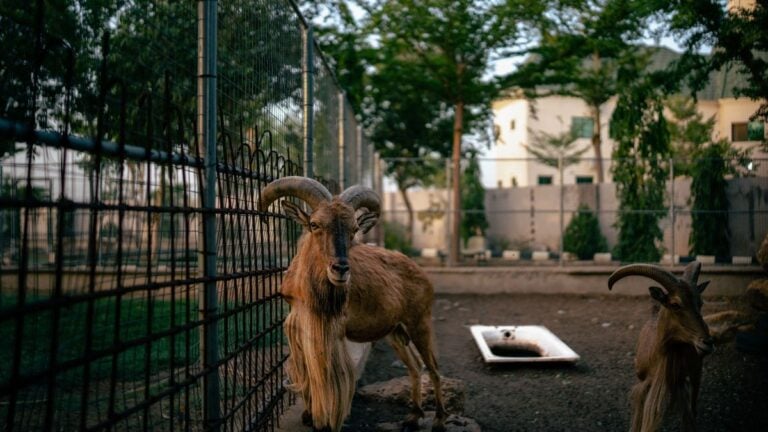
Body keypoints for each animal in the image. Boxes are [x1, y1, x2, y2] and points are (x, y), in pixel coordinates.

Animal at [260, 176, 447, 432]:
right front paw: (308, 415)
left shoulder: (332, 332)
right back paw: (413, 416)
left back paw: (438, 420)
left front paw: (325, 421)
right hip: (396, 332)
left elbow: (331, 380)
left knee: (434, 368)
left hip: (420, 323)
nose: (340, 269)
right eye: (315, 224)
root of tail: (422, 272)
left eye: (354, 229)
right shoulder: (300, 328)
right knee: (415, 366)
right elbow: (308, 374)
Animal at [608, 261, 714, 432]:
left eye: (700, 303)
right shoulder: (643, 383)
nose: (708, 342)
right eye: (675, 304)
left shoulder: (681, 382)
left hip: (696, 370)